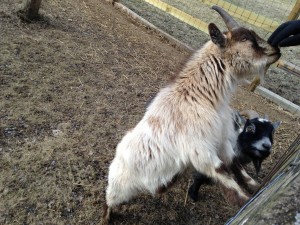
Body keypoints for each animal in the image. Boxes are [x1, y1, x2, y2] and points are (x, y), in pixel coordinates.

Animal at [102, 5, 280, 223]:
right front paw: (247, 203)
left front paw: (256, 188)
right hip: (118, 187)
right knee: (109, 201)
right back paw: (107, 218)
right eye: (246, 38)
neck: (199, 96)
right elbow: (230, 185)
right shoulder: (200, 151)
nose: (276, 50)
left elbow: (236, 166)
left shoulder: (221, 141)